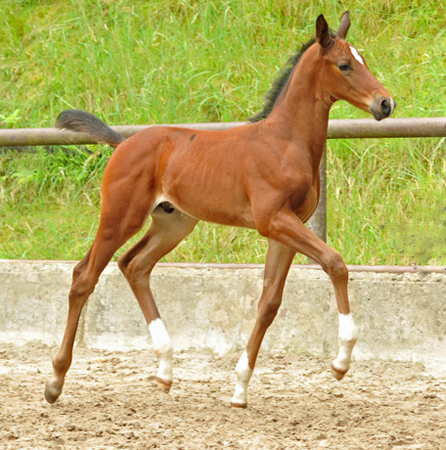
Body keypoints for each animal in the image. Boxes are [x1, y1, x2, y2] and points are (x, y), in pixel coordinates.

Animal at [44, 13, 394, 408]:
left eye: (363, 60)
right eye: (345, 64)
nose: (385, 104)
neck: (286, 141)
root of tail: (123, 142)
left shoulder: (287, 229)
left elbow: (270, 301)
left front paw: (240, 388)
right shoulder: (273, 221)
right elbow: (335, 263)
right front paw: (341, 361)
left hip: (174, 223)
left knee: (134, 265)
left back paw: (165, 370)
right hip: (121, 217)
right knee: (84, 277)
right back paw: (55, 382)